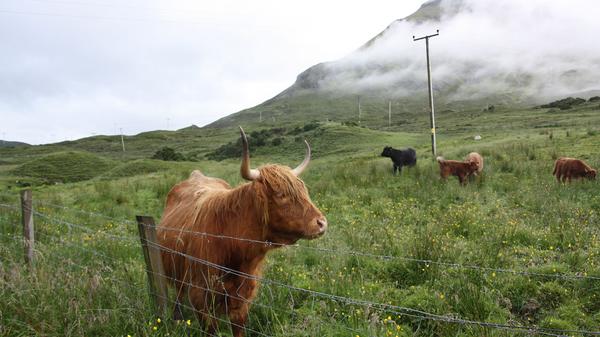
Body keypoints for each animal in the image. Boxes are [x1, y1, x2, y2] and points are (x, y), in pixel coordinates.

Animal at [157, 127, 326, 334]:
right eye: (281, 194)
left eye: (304, 191)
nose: (322, 223)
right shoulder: (201, 298)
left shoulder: (242, 299)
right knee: (178, 294)